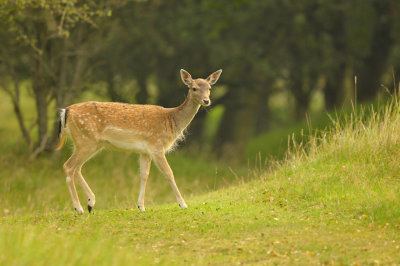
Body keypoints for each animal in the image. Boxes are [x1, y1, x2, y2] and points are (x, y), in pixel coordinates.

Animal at [56, 68, 222, 214]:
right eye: (194, 88)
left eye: (209, 88)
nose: (206, 100)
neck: (171, 120)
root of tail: (66, 112)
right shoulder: (157, 146)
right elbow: (169, 173)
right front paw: (183, 204)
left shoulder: (145, 151)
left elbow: (144, 175)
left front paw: (141, 206)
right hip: (86, 140)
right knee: (69, 166)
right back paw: (79, 208)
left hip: (90, 144)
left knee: (77, 168)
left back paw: (90, 203)